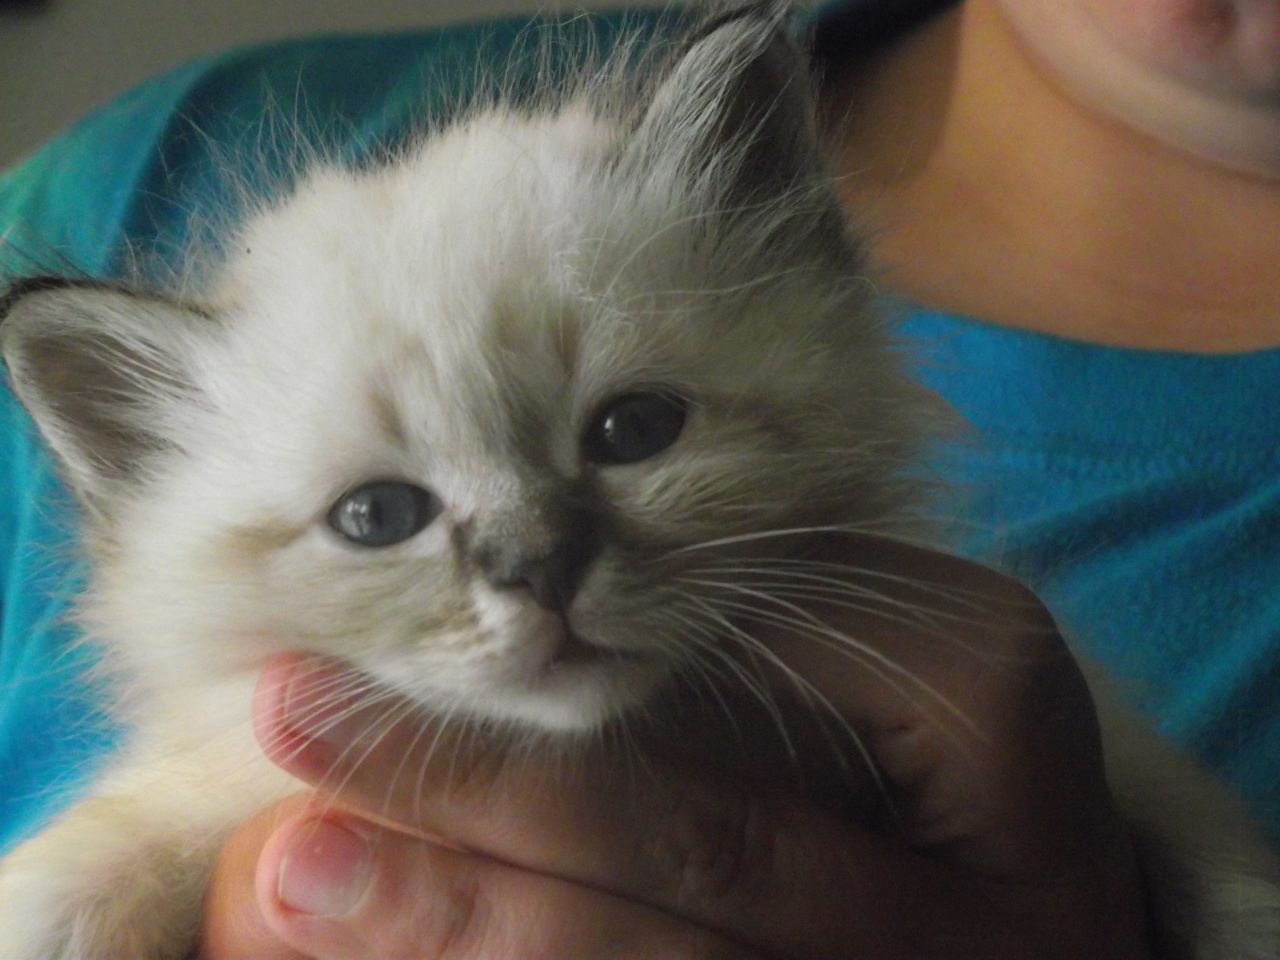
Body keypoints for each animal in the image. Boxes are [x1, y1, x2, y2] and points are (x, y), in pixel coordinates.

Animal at [0, 3, 1274, 957]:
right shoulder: (236, 769)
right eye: (377, 518)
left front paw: (1239, 911)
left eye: (632, 431)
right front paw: (61, 902)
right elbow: (136, 829)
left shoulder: (1098, 726)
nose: (540, 569)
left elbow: (1191, 826)